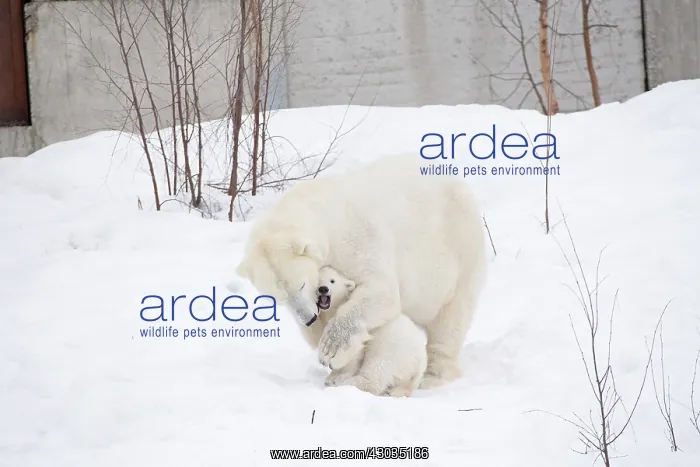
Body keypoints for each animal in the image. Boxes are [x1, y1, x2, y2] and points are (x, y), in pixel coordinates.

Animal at [316, 265, 428, 397]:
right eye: (317, 280)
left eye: (332, 280)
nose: (323, 289)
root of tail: (420, 360)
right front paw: (331, 377)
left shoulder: (358, 336)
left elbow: (353, 355)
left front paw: (336, 378)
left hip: (392, 350)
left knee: (376, 371)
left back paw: (350, 384)